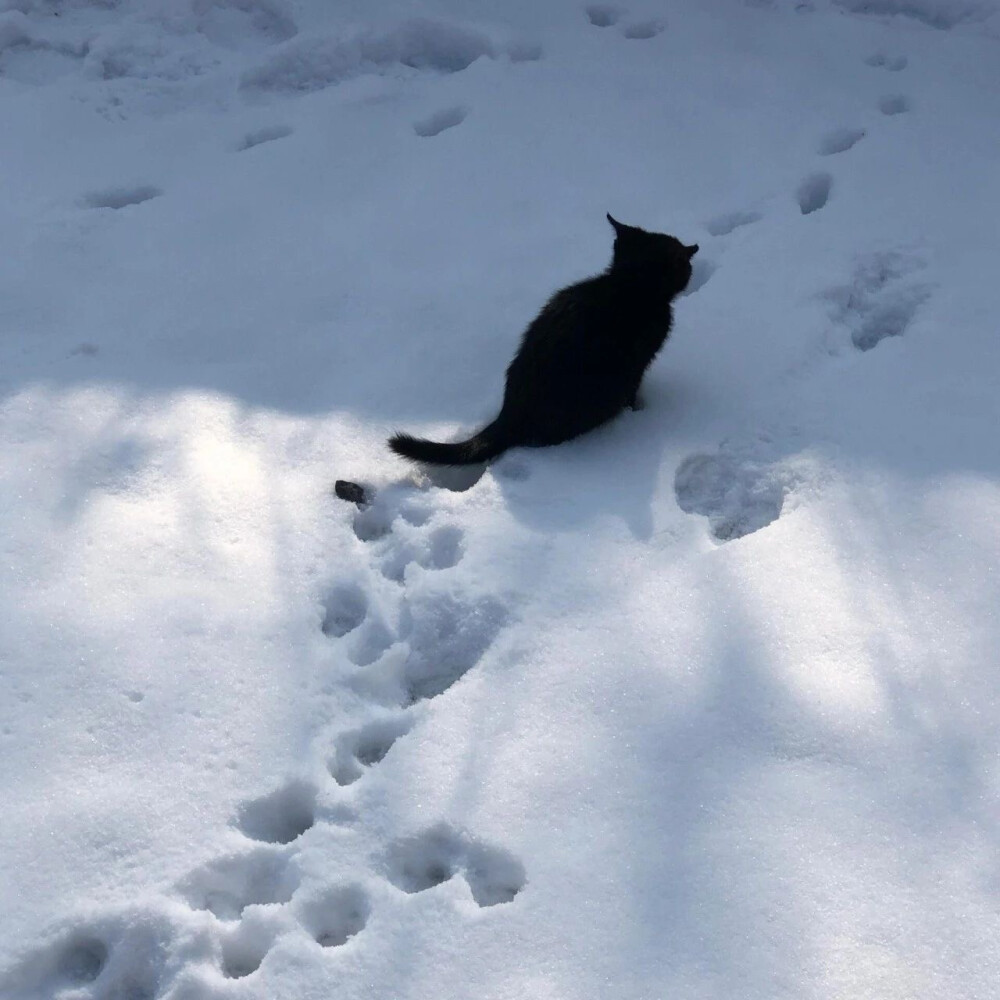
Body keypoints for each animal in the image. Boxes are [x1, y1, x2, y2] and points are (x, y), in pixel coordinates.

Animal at [386, 215, 700, 464]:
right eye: (686, 266)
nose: (694, 253)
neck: (629, 285)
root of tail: (509, 415)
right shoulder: (640, 362)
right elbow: (635, 390)